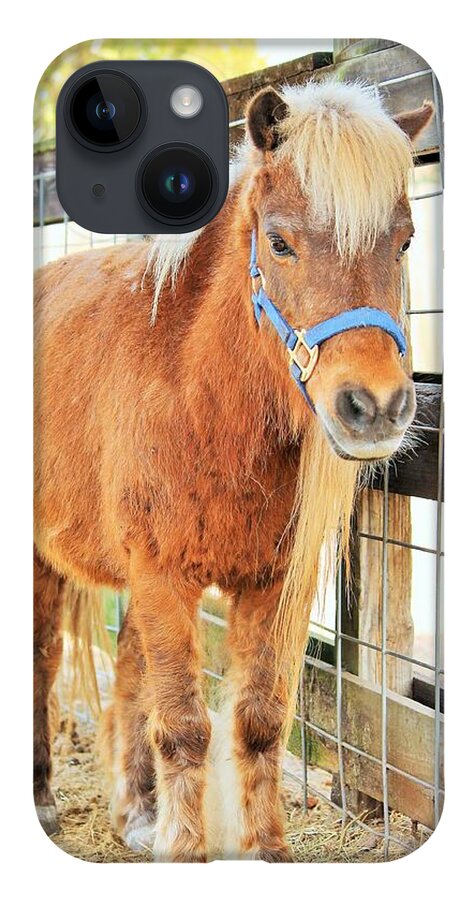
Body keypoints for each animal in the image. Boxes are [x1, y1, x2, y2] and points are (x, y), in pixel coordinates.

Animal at [34, 79, 433, 861]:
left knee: (129, 672)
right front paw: (189, 851)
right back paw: (41, 799)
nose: (375, 407)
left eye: (404, 241)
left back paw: (137, 812)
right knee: (42, 663)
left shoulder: (270, 584)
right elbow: (186, 728)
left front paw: (264, 850)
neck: (200, 397)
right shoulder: (163, 575)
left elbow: (257, 721)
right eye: (278, 242)